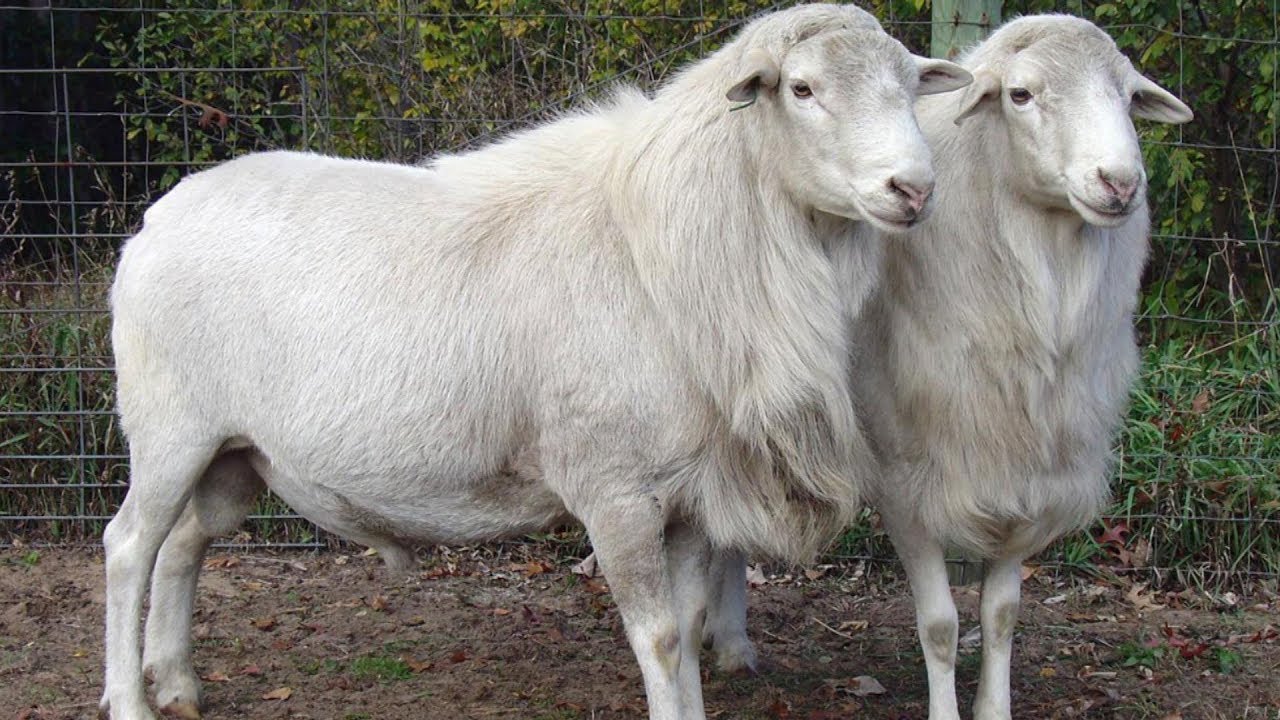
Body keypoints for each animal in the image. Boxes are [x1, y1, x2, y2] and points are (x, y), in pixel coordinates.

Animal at [98, 5, 973, 720]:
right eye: (801, 89)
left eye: (909, 85)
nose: (914, 188)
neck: (667, 246)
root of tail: (159, 217)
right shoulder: (613, 491)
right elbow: (659, 639)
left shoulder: (691, 496)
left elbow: (690, 627)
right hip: (169, 430)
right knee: (129, 548)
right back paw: (131, 699)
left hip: (234, 453)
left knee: (184, 546)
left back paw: (177, 684)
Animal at [701, 14, 1193, 718]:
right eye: (1020, 95)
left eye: (1129, 98)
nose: (1120, 183)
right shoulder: (902, 481)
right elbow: (939, 624)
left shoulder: (1023, 467)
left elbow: (1002, 614)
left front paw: (993, 705)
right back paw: (729, 639)